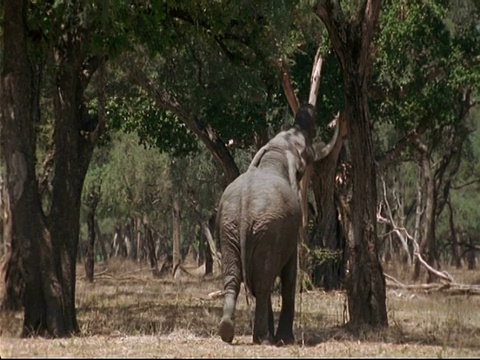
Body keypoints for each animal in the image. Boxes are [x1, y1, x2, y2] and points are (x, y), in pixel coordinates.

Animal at [218, 105, 338, 346]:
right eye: (307, 153)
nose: (306, 108)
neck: (275, 152)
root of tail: (245, 205)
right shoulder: (289, 230)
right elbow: (289, 274)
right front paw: (285, 339)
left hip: (229, 227)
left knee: (234, 278)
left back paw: (228, 332)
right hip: (267, 229)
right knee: (264, 282)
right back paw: (263, 339)